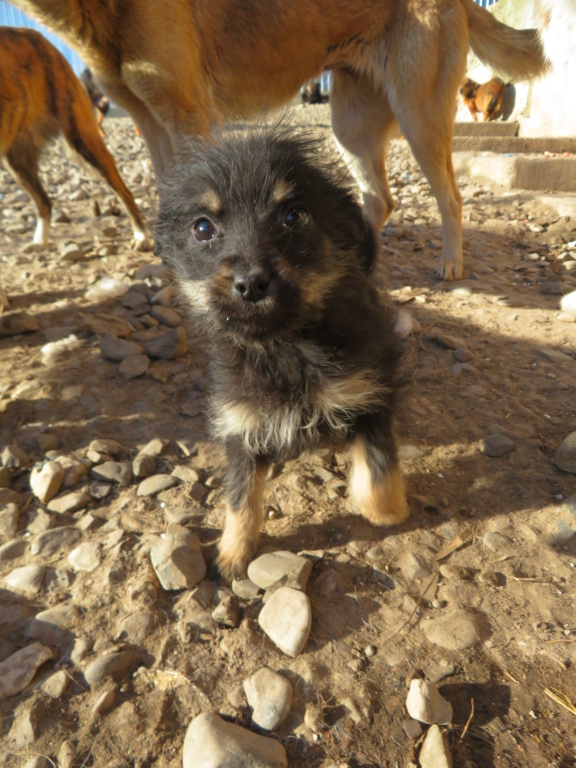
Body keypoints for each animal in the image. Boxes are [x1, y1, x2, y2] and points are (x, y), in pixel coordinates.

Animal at [0, 26, 151, 249]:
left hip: (85, 144)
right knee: (44, 201)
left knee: (124, 192)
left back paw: (141, 235)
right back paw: (40, 242)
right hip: (18, 163)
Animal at [156, 126, 410, 580]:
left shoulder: (369, 389)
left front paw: (386, 512)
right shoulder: (240, 422)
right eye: (202, 228)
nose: (251, 282)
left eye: (294, 216)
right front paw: (232, 553)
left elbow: (378, 468)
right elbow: (240, 495)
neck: (284, 347)